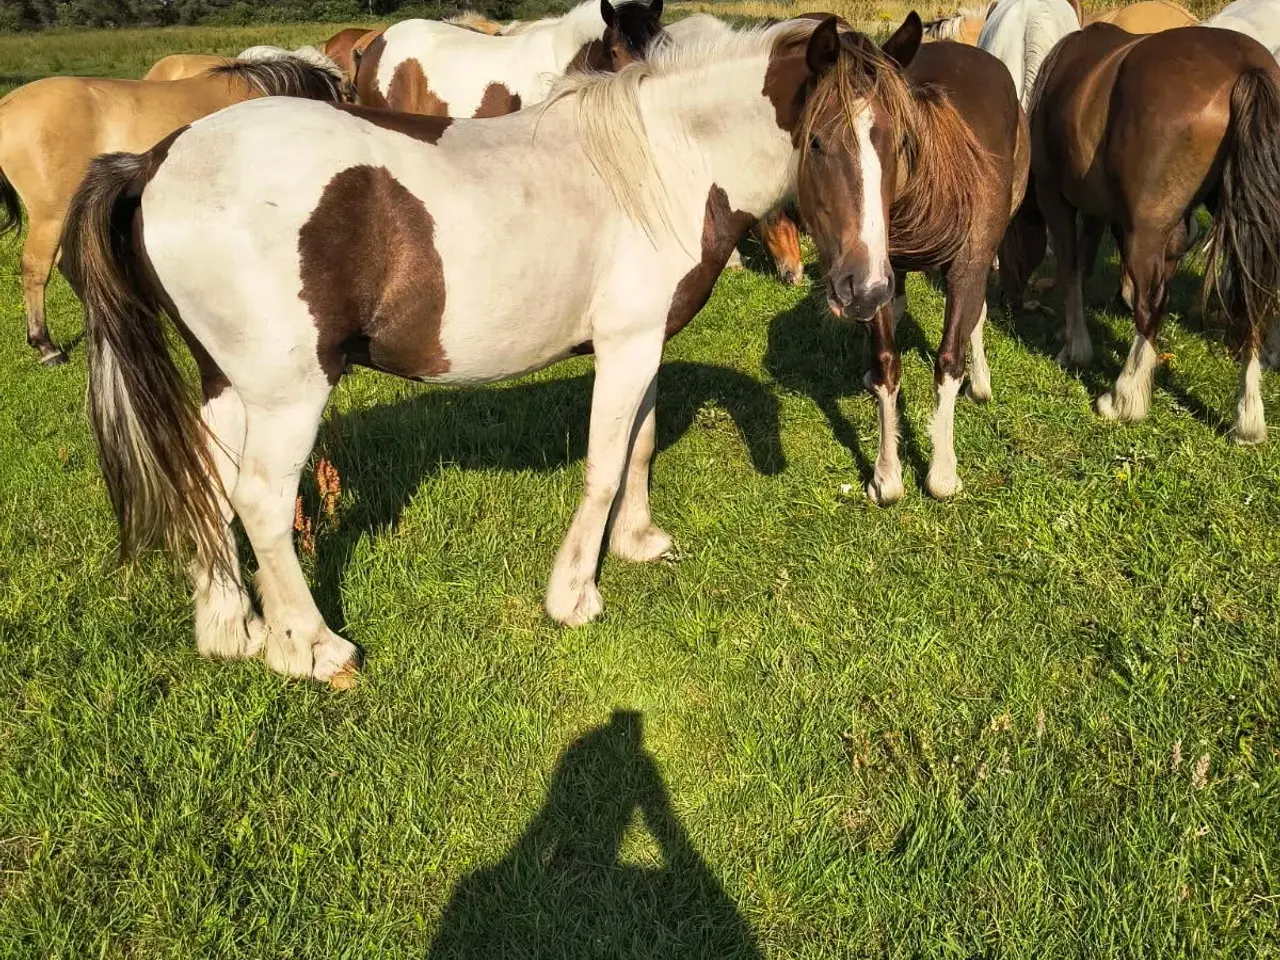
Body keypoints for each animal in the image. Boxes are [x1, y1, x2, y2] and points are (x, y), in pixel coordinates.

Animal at [60, 15, 935, 682]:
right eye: (818, 142)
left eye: (897, 141)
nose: (866, 289)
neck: (664, 163)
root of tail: (155, 161)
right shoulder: (625, 346)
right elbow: (604, 463)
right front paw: (573, 595)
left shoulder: (645, 342)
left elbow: (641, 445)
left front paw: (639, 543)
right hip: (288, 394)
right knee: (263, 505)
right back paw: (313, 648)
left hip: (226, 383)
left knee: (205, 482)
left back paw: (232, 630)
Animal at [1002, 23, 1280, 442]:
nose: (1010, 298)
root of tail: (1245, 66)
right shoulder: (1110, 214)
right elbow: (1086, 265)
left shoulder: (1058, 200)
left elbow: (1071, 268)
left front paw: (1075, 347)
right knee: (1253, 306)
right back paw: (1248, 417)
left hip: (1146, 230)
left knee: (1153, 307)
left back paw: (1124, 397)